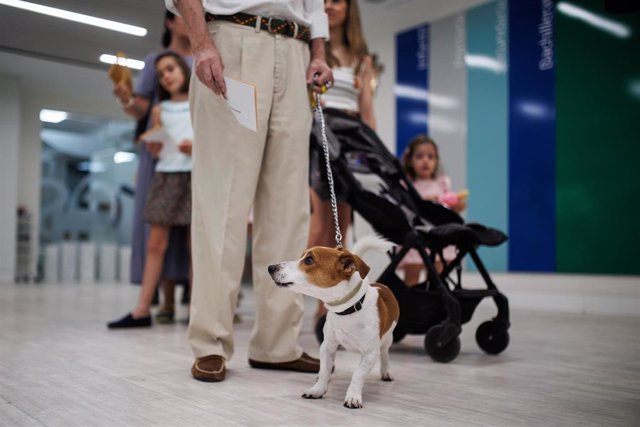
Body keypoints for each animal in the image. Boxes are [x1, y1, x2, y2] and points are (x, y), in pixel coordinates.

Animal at [266, 236, 398, 410]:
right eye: (303, 256)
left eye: (309, 260)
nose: (271, 267)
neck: (348, 309)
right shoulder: (327, 346)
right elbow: (324, 371)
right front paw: (318, 389)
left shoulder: (370, 354)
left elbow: (357, 375)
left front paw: (353, 396)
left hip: (387, 339)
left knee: (385, 354)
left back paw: (386, 371)